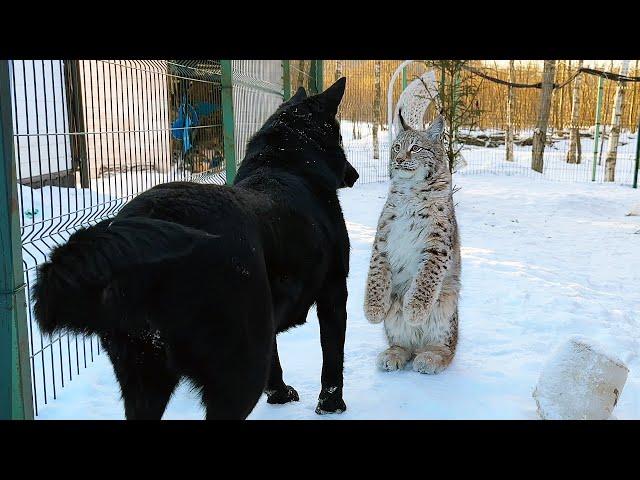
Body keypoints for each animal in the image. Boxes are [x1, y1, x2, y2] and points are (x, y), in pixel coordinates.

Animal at [32, 77, 358, 418]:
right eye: (338, 136)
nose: (355, 175)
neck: (282, 163)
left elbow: (277, 361)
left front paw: (279, 395)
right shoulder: (334, 290)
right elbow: (332, 357)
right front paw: (331, 404)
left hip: (144, 378)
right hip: (238, 371)